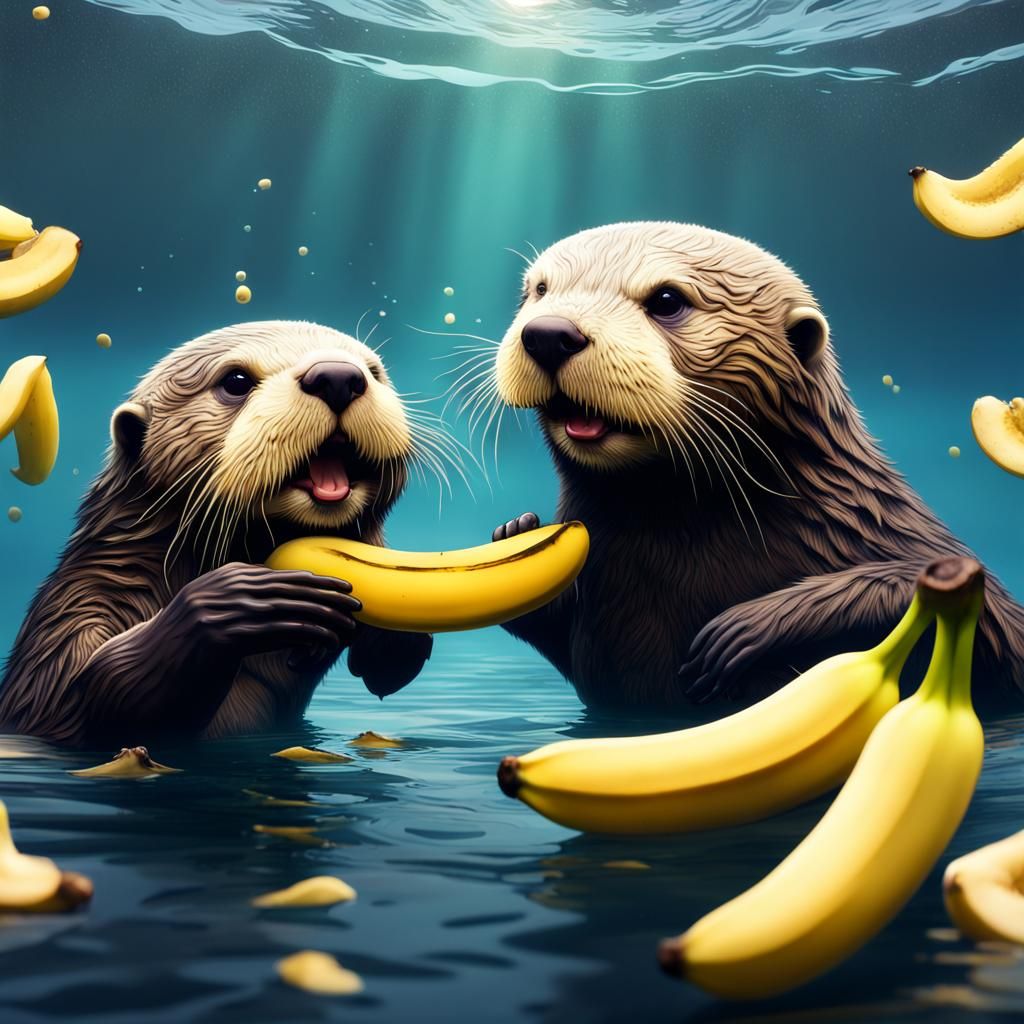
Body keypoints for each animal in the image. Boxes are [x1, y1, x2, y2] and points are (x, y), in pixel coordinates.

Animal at [0, 321, 433, 748]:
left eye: (374, 370)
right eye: (236, 381)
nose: (338, 376)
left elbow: (386, 670)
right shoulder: (82, 601)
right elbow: (83, 689)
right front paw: (245, 599)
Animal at [489, 222, 1024, 711]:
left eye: (667, 299)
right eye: (539, 289)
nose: (550, 333)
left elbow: (984, 617)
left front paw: (752, 626)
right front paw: (517, 532)